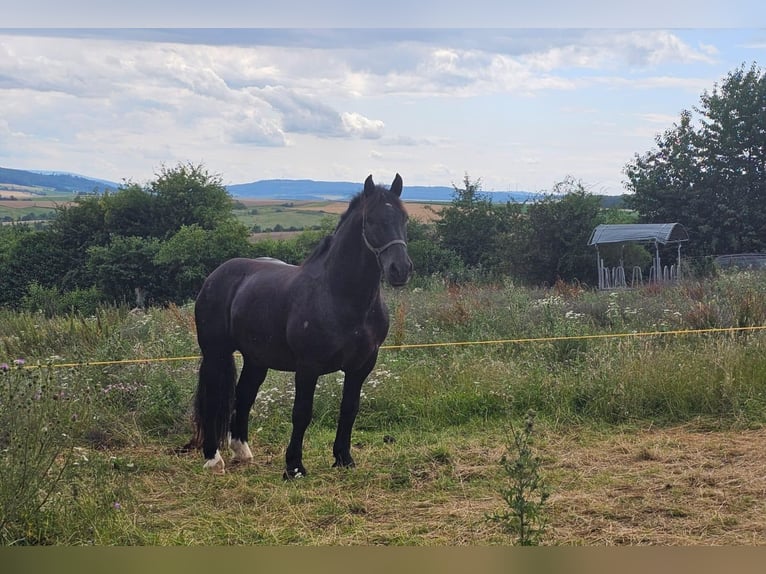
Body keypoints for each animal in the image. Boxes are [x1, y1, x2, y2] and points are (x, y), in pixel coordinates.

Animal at [192, 174, 413, 477]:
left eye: (404, 219)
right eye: (371, 221)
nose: (400, 270)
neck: (340, 296)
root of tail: (215, 276)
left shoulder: (362, 365)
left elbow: (349, 409)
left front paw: (344, 458)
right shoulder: (308, 367)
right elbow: (302, 413)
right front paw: (294, 466)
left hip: (256, 359)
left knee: (244, 396)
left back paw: (243, 452)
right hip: (216, 354)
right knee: (213, 400)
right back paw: (213, 459)